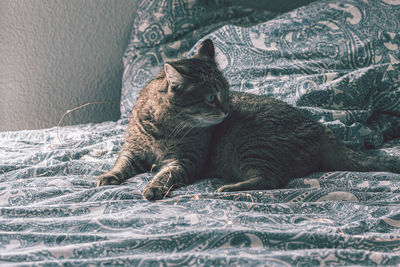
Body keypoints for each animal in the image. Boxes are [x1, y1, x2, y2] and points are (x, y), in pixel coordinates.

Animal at [97, 38, 400, 200]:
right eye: (211, 97)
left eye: (227, 93)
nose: (227, 110)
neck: (163, 127)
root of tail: (324, 131)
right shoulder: (132, 150)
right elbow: (120, 164)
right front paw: (109, 176)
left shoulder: (186, 160)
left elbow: (165, 174)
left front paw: (154, 186)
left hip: (251, 146)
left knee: (272, 179)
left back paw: (228, 187)